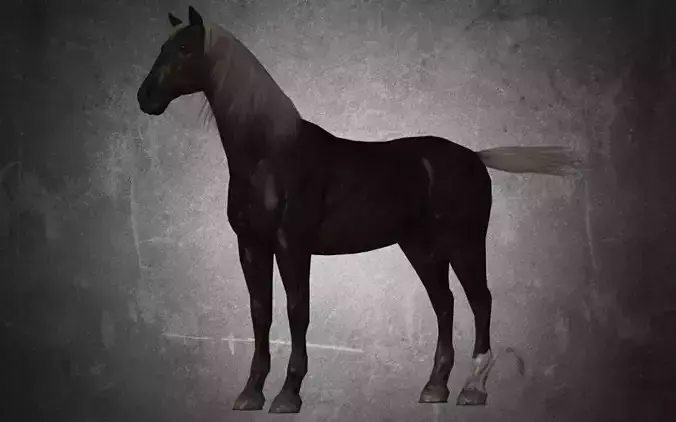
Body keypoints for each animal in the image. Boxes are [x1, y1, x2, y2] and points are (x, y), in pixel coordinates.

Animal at [137, 6, 582, 414]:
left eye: (184, 49)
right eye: (161, 48)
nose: (145, 98)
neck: (271, 156)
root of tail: (473, 156)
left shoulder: (292, 246)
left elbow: (297, 312)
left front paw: (288, 394)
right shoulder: (251, 246)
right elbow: (260, 313)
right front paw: (250, 393)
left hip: (465, 243)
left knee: (481, 301)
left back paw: (473, 388)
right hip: (421, 248)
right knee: (445, 303)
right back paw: (435, 386)